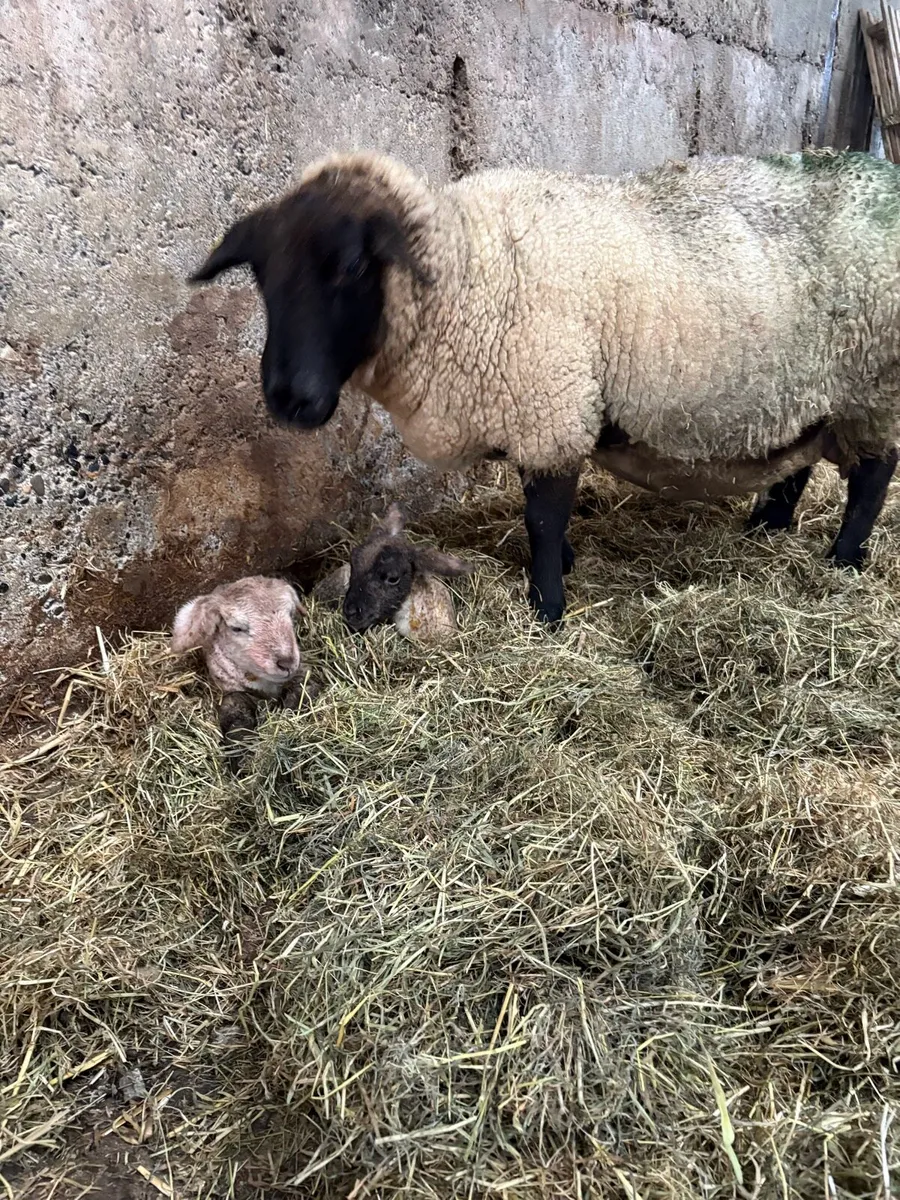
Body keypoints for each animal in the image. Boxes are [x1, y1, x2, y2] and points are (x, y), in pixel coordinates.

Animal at [170, 575, 319, 763]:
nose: (286, 663)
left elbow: (304, 688)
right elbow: (236, 713)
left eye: (291, 615)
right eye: (236, 628)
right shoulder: (231, 690)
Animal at [189, 148, 900, 624]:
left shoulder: (550, 411)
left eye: (353, 266)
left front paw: (548, 605)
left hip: (874, 390)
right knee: (798, 461)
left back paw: (843, 559)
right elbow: (546, 518)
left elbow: (541, 517)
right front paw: (565, 568)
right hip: (810, 392)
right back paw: (767, 530)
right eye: (262, 275)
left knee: (872, 478)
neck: (469, 270)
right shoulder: (543, 415)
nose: (288, 397)